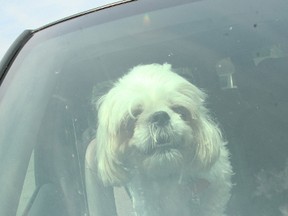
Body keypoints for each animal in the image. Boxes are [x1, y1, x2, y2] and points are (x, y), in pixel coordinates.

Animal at [85, 63, 232, 215]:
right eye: (135, 114)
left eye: (178, 109)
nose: (160, 116)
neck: (167, 171)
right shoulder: (147, 204)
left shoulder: (218, 185)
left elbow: (212, 206)